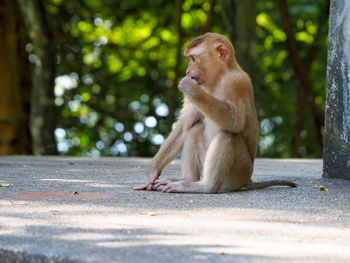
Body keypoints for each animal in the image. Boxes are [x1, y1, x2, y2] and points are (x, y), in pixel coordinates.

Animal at [133, 33, 296, 194]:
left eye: (193, 59)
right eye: (188, 59)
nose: (187, 72)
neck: (217, 79)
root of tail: (247, 180)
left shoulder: (234, 83)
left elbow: (235, 123)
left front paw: (192, 89)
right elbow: (184, 127)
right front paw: (152, 173)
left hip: (239, 172)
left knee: (227, 135)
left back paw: (205, 186)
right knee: (195, 129)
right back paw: (189, 180)